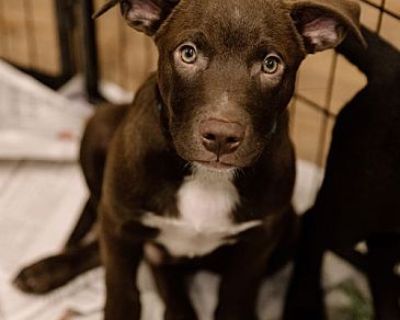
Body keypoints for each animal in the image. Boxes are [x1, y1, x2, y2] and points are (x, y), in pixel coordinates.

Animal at [14, 1, 364, 318]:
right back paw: (45, 271)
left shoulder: (257, 243)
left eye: (271, 64)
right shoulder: (118, 220)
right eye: (188, 53)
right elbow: (121, 292)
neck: (206, 177)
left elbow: (235, 300)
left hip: (289, 230)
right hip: (99, 128)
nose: (221, 136)